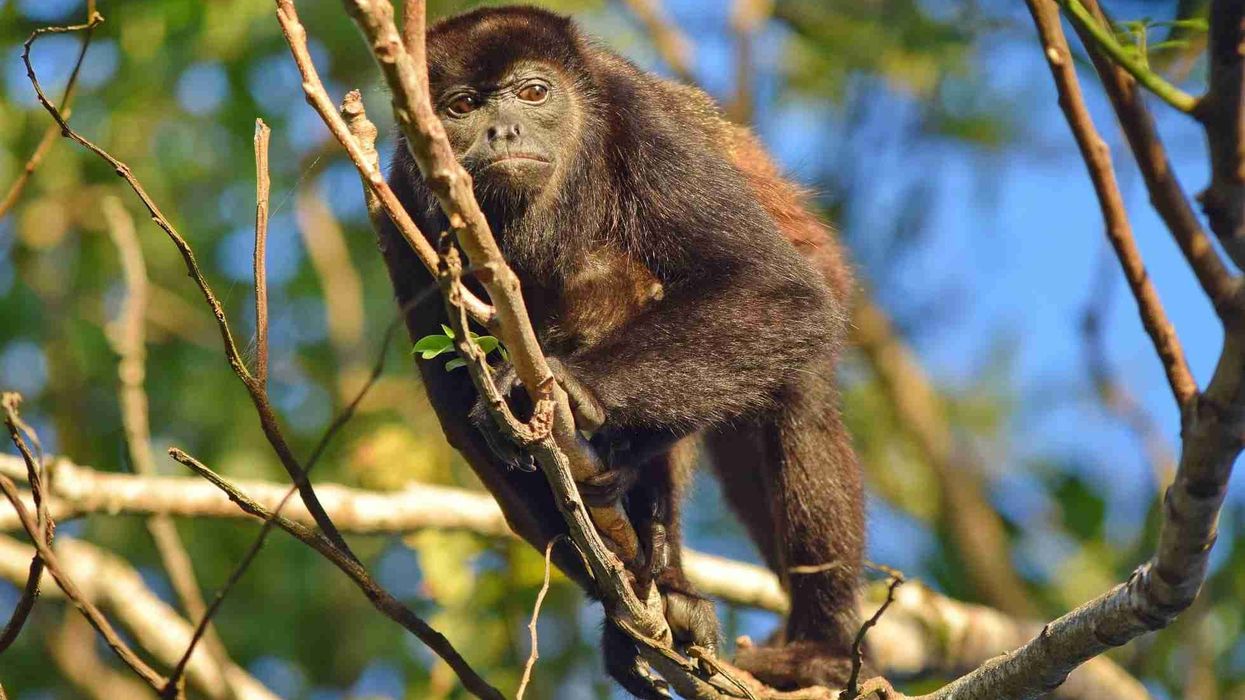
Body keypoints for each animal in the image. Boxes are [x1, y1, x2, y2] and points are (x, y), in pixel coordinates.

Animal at [376, 6, 865, 696]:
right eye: (462, 105)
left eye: (534, 92)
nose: (503, 129)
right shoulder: (399, 203)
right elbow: (460, 412)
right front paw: (621, 609)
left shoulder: (641, 124)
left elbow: (775, 286)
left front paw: (573, 390)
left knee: (798, 401)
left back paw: (820, 648)